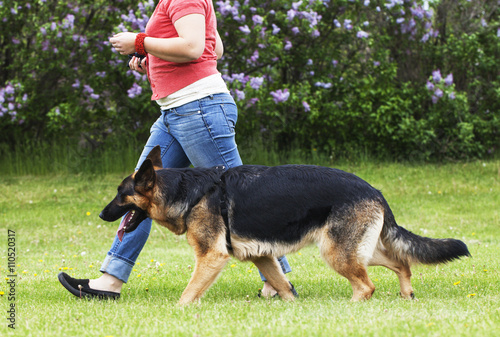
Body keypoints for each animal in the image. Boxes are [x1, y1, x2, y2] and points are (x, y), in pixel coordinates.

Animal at [98, 146, 468, 304]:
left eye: (120, 195)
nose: (101, 215)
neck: (187, 191)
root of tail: (374, 190)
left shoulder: (211, 258)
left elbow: (187, 295)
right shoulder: (262, 256)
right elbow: (284, 287)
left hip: (336, 252)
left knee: (367, 286)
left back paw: (350, 309)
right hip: (355, 249)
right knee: (402, 262)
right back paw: (407, 294)